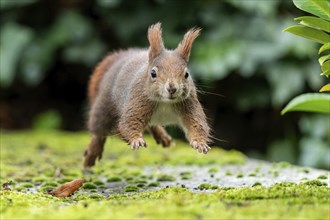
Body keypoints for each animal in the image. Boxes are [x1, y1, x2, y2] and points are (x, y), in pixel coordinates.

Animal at [84, 22, 210, 168]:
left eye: (186, 74)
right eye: (153, 73)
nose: (172, 88)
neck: (165, 102)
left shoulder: (188, 104)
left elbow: (196, 123)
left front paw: (200, 142)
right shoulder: (138, 100)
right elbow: (128, 123)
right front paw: (136, 140)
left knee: (152, 125)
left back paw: (162, 137)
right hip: (104, 104)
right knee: (98, 130)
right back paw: (93, 151)